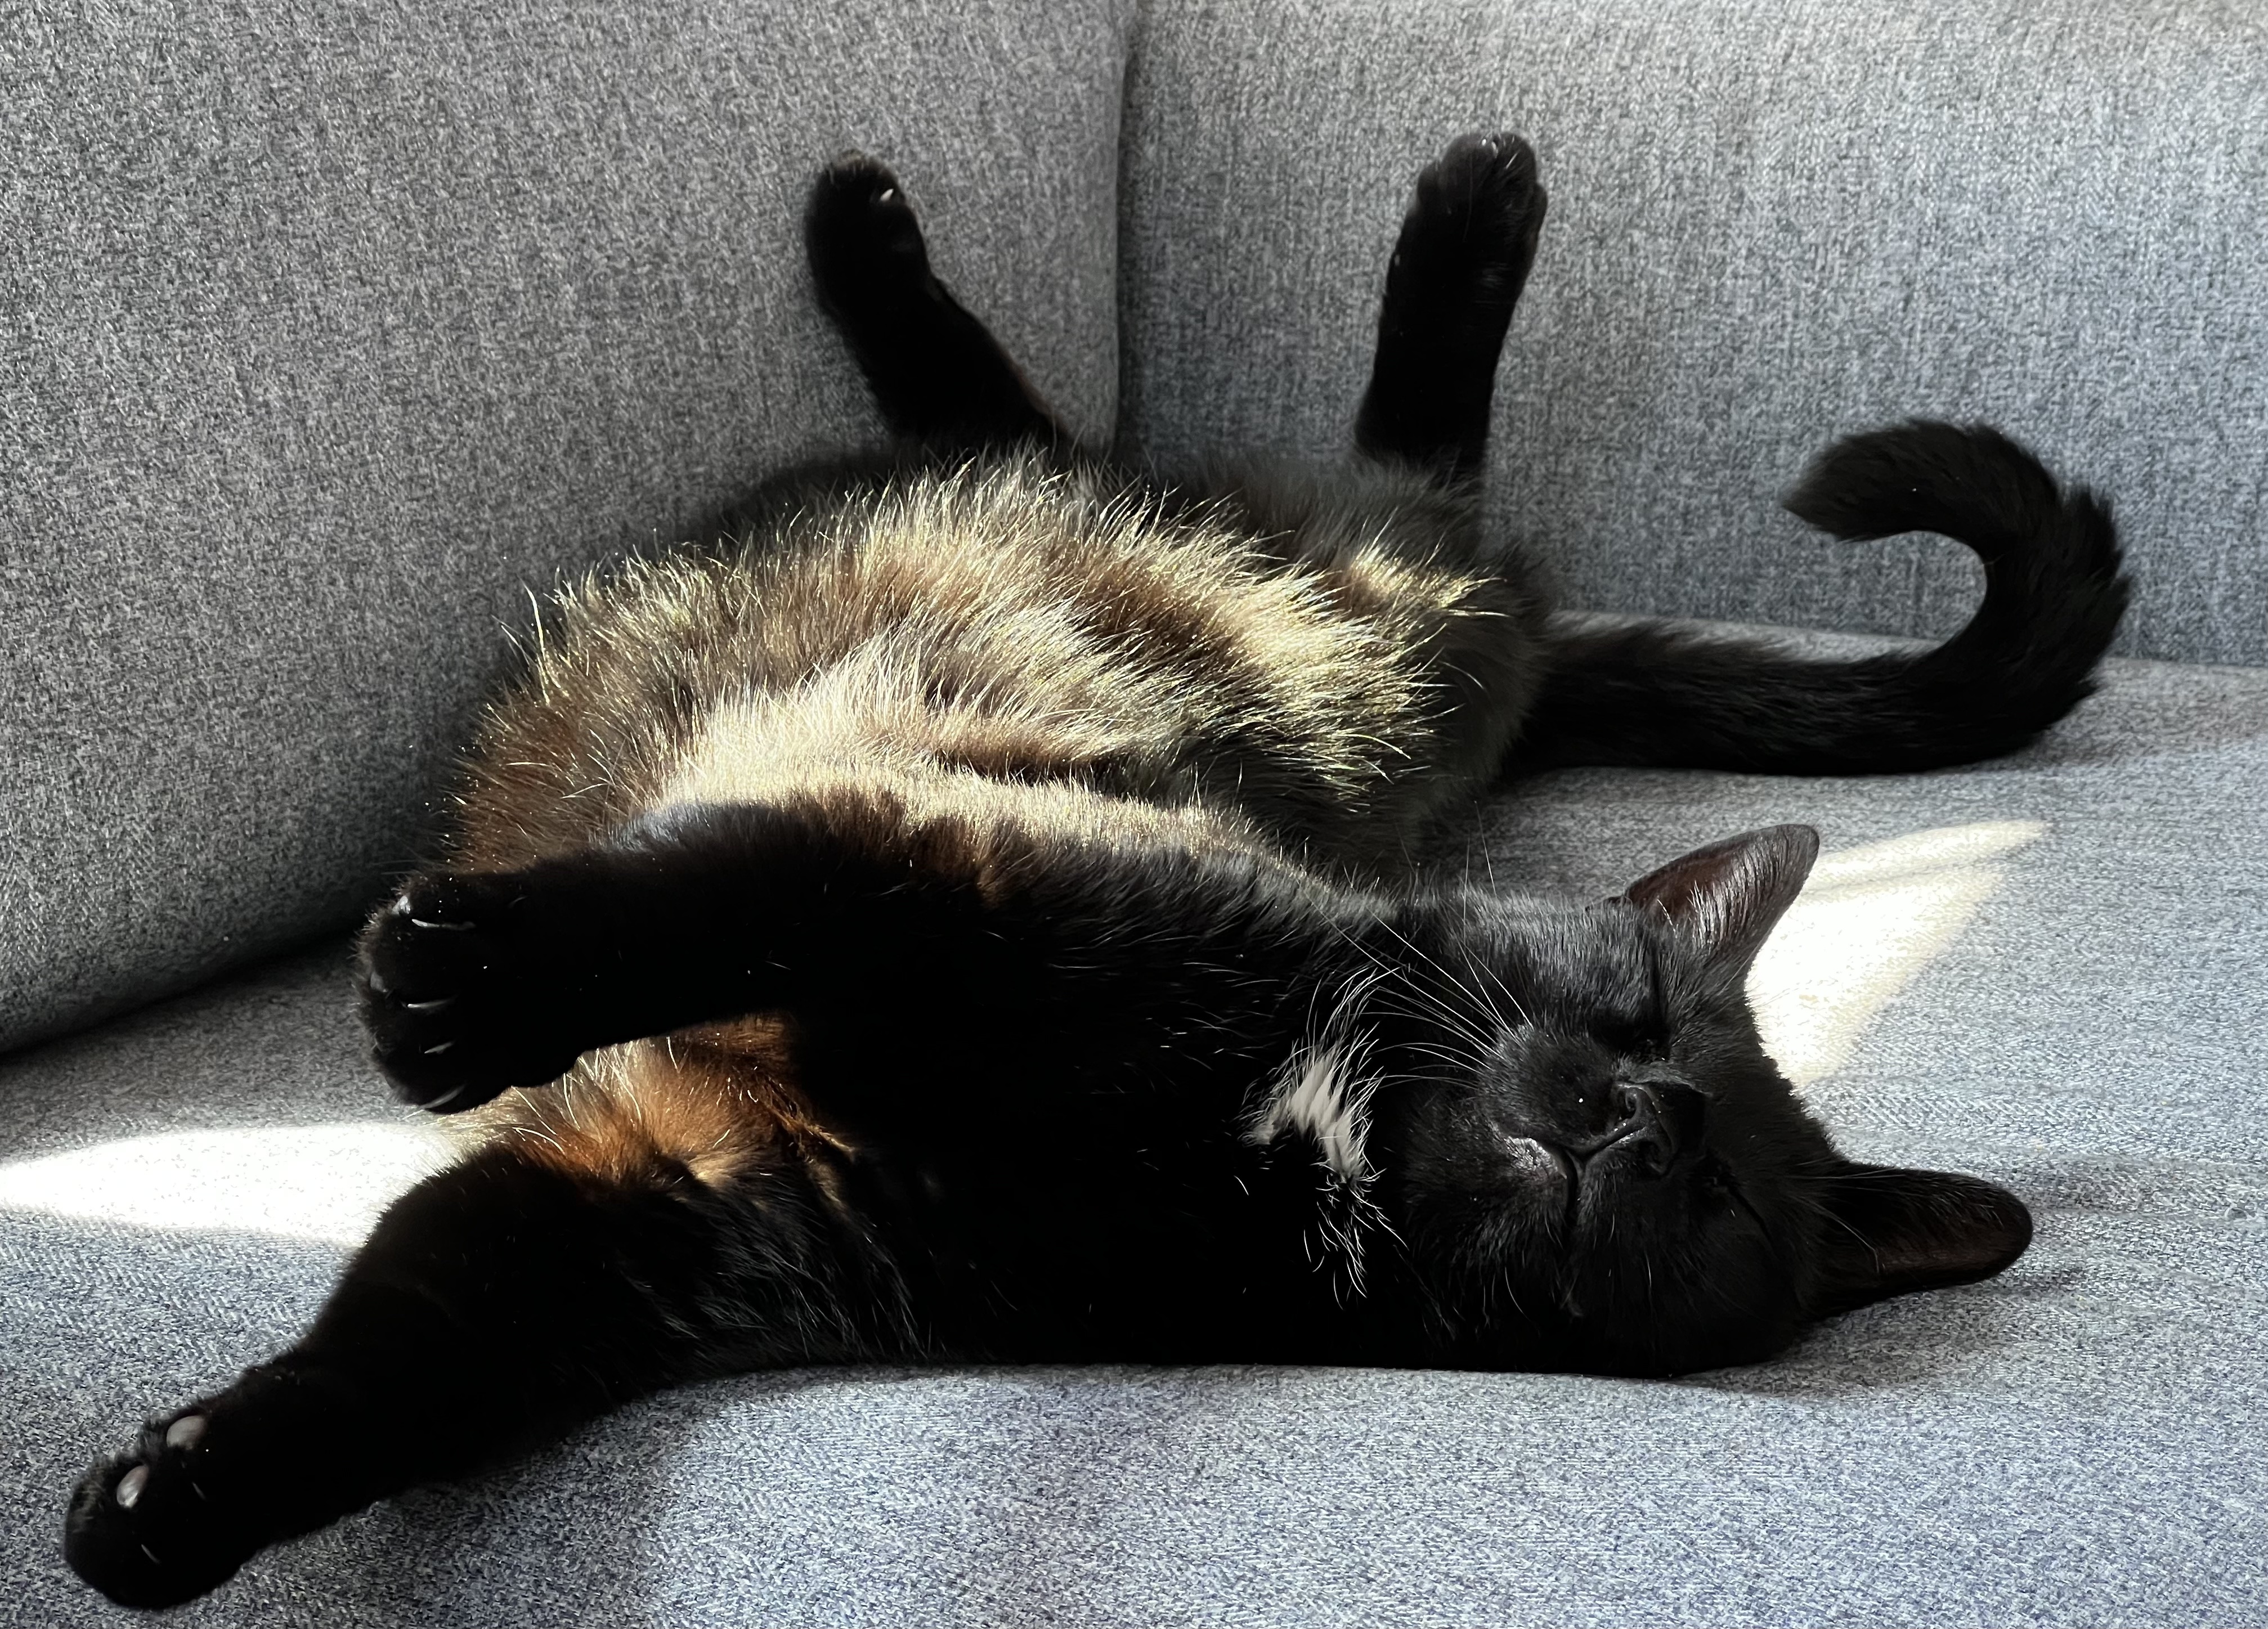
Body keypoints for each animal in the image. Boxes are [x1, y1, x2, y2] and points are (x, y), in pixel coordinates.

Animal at [66, 137, 2123, 1606]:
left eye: (1712, 1183)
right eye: (1623, 1012)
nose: (1626, 1119)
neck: (1291, 1126)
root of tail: (1527, 660)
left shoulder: (654, 1206)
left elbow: (414, 1346)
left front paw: (177, 1495)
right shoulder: (940, 871)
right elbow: (693, 906)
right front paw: (457, 998)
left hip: (1374, 642)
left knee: (1264, 473)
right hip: (1326, 618)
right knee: (1244, 460)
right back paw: (1431, 207)